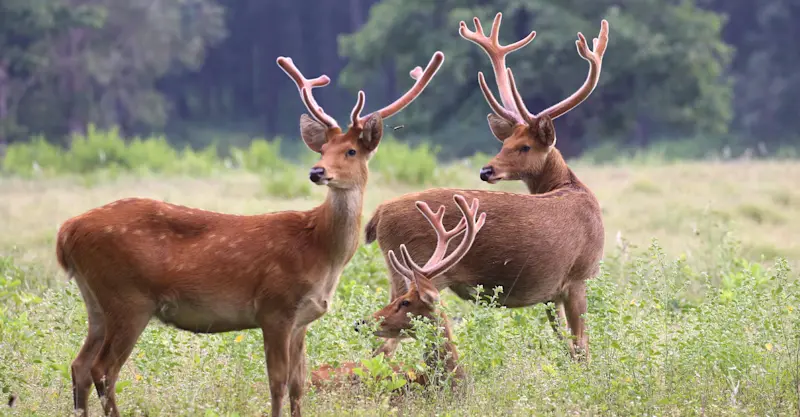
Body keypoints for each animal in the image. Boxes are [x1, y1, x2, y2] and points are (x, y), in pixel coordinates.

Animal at [55, 50, 444, 417]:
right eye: (322, 149)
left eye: (350, 150)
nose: (317, 171)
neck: (320, 251)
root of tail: (66, 232)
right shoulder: (274, 306)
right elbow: (277, 382)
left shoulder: (302, 318)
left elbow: (299, 384)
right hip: (128, 297)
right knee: (104, 369)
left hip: (98, 301)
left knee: (79, 365)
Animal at [364, 13, 609, 363]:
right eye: (506, 143)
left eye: (523, 146)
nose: (486, 170)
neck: (572, 188)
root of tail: (379, 214)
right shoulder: (578, 277)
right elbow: (582, 348)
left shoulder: (551, 293)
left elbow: (564, 344)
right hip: (415, 270)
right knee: (385, 344)